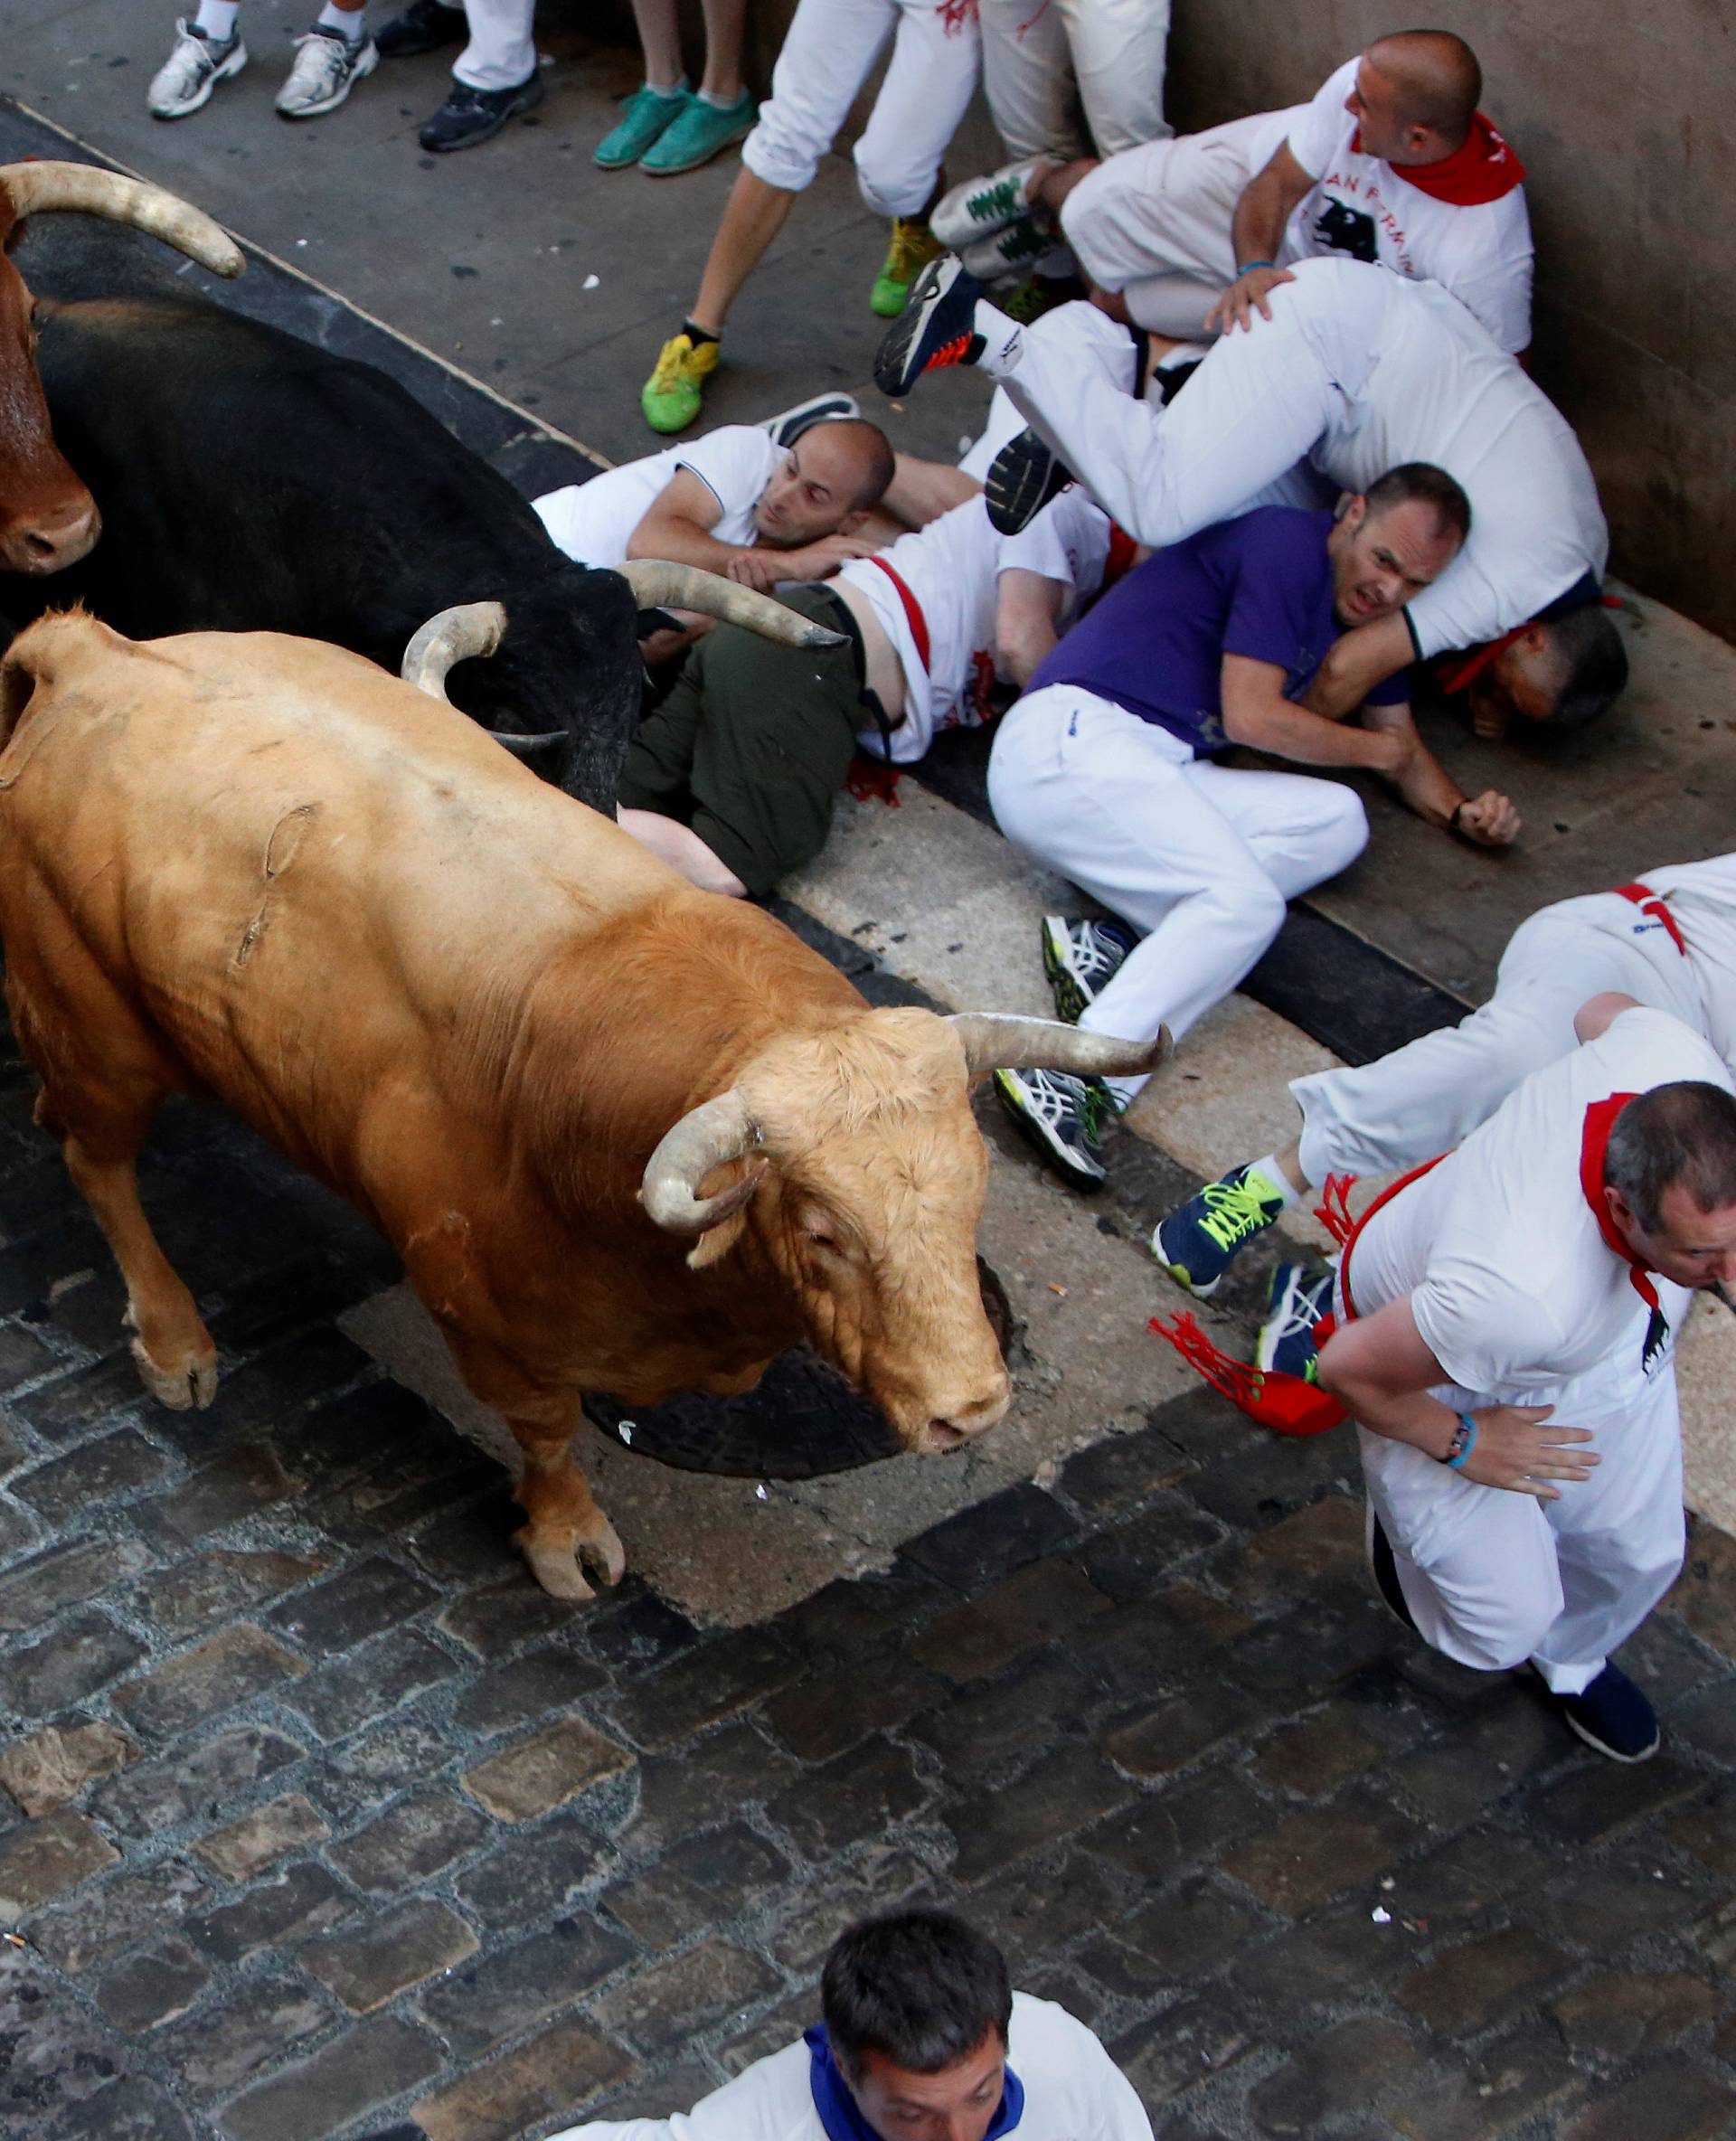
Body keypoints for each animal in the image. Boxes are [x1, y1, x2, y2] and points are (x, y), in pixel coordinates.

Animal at [0, 612, 1164, 1601]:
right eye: (824, 1231)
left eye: (972, 1195)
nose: (972, 1405)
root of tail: (94, 650)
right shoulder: (484, 1311)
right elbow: (548, 1428)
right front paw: (569, 1537)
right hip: (96, 1034)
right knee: (98, 1163)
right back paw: (175, 1344)